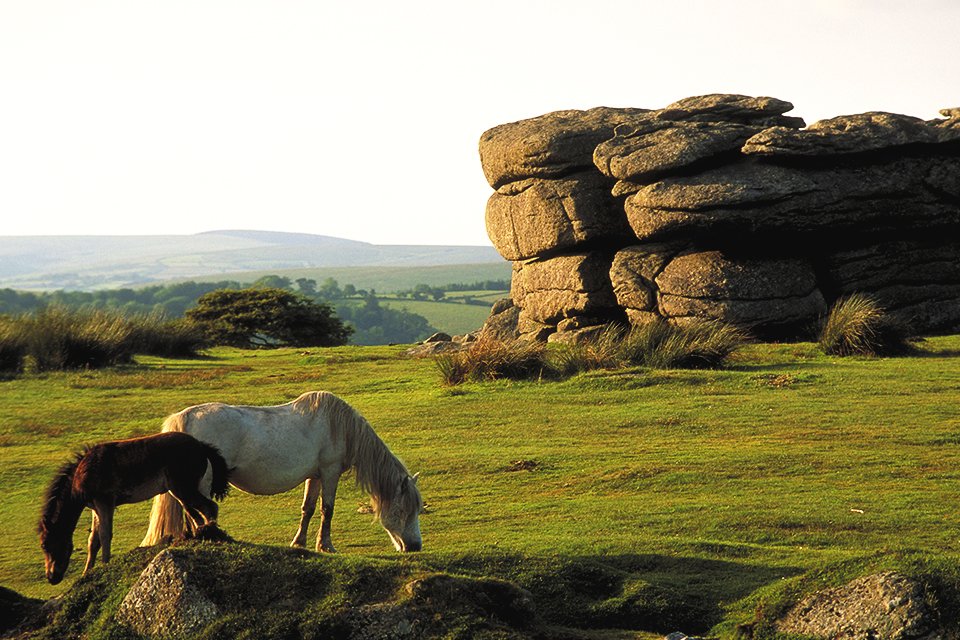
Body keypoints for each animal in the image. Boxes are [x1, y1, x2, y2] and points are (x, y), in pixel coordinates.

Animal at [37, 430, 229, 584]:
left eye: (45, 545)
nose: (51, 577)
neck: (82, 472)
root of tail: (201, 446)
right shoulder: (95, 507)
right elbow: (93, 540)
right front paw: (86, 573)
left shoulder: (105, 502)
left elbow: (105, 535)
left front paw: (105, 566)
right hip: (179, 492)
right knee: (197, 514)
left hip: (183, 489)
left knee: (210, 507)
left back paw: (211, 533)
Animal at [140, 390, 424, 556]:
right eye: (403, 511)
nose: (415, 547)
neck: (339, 427)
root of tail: (184, 418)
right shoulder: (330, 472)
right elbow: (327, 509)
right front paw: (326, 546)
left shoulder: (315, 476)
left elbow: (308, 509)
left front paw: (300, 542)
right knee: (195, 510)